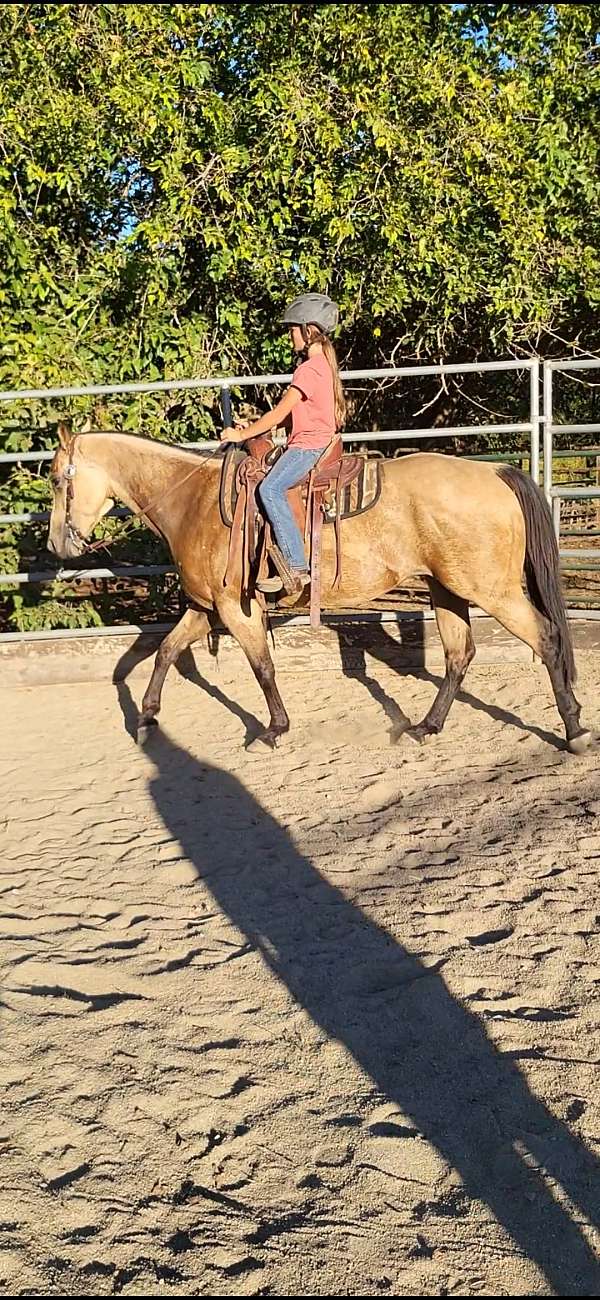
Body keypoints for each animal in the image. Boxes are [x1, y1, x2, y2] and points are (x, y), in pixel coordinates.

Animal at [46, 426, 589, 754]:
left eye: (55, 480)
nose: (57, 543)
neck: (192, 499)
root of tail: (492, 471)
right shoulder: (206, 607)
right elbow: (164, 652)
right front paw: (145, 720)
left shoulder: (235, 608)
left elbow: (262, 666)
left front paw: (273, 729)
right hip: (446, 590)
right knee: (460, 654)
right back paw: (426, 726)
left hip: (491, 591)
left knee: (545, 638)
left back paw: (574, 729)